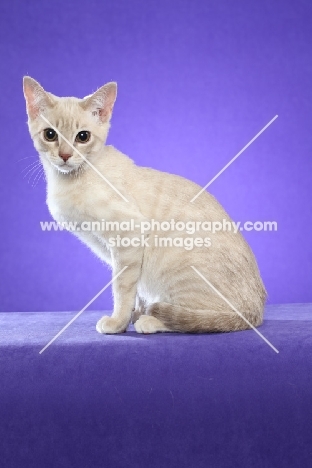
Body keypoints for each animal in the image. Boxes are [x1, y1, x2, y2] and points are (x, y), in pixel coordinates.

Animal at [22, 76, 266, 332]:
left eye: (83, 137)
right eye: (50, 134)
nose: (65, 155)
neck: (66, 181)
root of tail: (256, 311)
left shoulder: (128, 235)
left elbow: (122, 288)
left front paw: (118, 323)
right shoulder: (122, 252)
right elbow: (136, 289)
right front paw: (134, 313)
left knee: (202, 320)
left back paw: (152, 320)